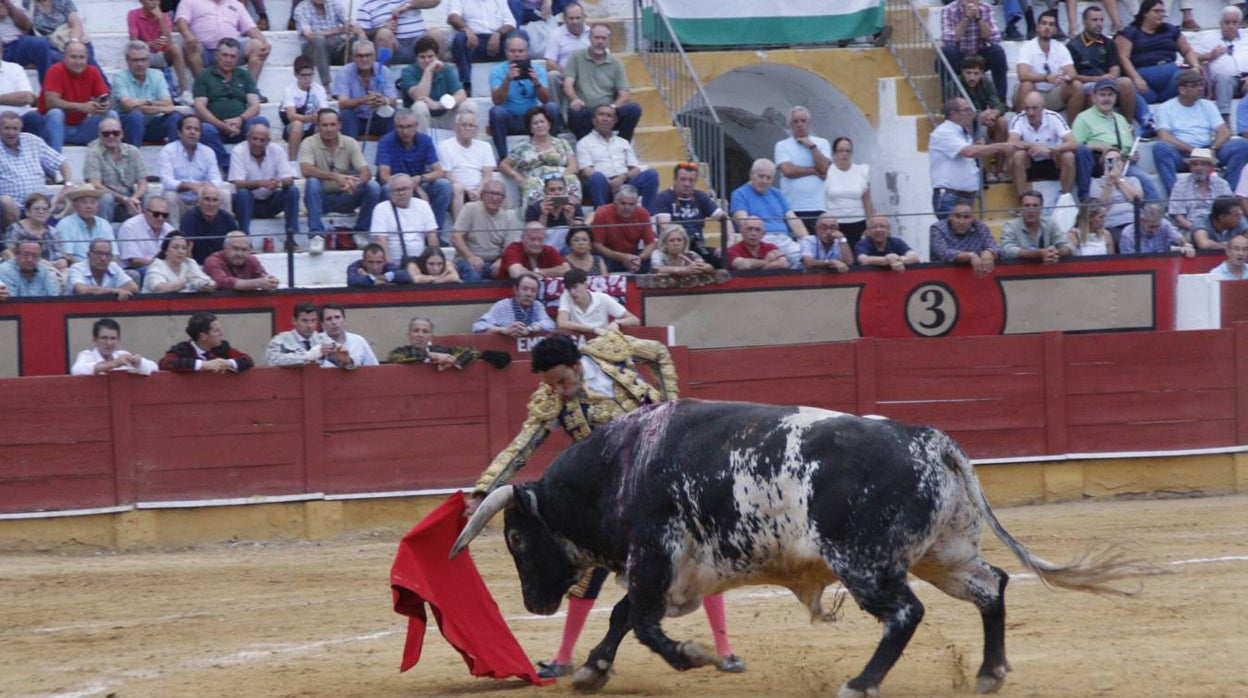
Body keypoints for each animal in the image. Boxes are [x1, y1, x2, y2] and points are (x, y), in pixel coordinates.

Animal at [449, 402, 1143, 694]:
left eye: (515, 537)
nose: (534, 603)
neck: (622, 466)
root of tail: (931, 440)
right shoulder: (672, 573)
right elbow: (623, 618)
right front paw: (593, 670)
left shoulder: (654, 560)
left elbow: (639, 623)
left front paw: (692, 656)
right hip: (943, 553)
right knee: (991, 585)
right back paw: (989, 673)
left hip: (865, 565)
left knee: (906, 613)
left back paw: (861, 683)